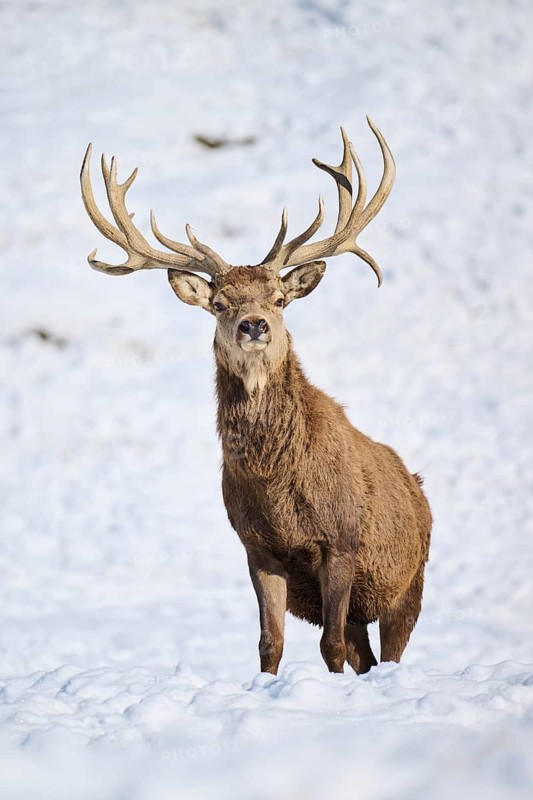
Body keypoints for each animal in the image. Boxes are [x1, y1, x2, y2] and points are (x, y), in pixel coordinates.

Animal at [80, 118, 432, 675]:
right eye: (220, 303)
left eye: (280, 299)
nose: (254, 324)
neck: (276, 487)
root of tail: (419, 493)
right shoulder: (257, 548)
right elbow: (271, 644)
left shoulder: (341, 539)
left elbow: (329, 645)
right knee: (366, 655)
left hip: (408, 585)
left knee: (389, 653)